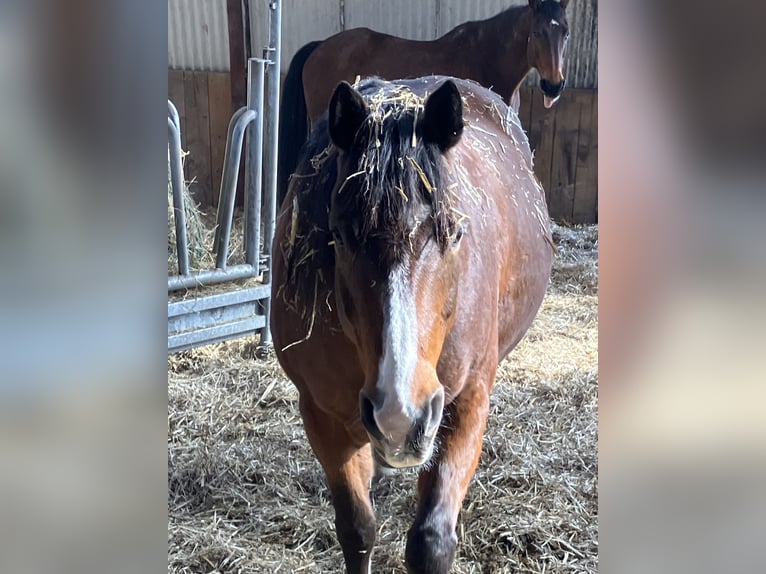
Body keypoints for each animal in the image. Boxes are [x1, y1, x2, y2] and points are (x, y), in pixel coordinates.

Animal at [270, 75, 553, 573]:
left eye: (455, 233)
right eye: (339, 235)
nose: (401, 416)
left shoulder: (465, 404)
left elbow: (431, 540)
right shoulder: (322, 415)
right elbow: (358, 529)